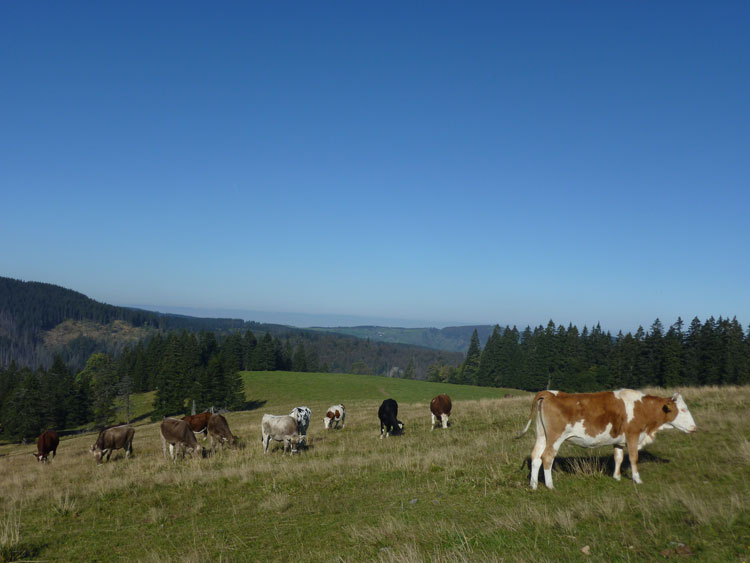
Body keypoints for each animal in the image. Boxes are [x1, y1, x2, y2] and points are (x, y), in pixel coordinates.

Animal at [516, 388, 700, 490]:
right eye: (683, 410)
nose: (694, 427)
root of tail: (549, 393)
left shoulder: (619, 440)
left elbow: (618, 457)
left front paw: (617, 477)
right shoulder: (633, 435)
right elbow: (633, 458)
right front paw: (637, 479)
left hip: (542, 436)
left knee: (535, 457)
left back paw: (533, 485)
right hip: (555, 437)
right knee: (547, 457)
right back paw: (550, 485)